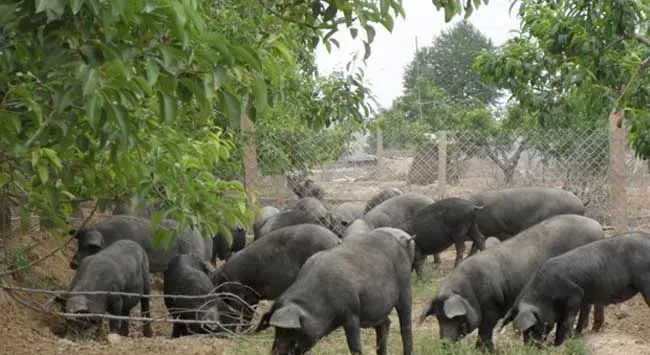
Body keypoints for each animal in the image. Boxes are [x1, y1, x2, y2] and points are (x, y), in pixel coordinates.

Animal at [70, 214, 213, 276]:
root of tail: (198, 232)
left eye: (90, 246)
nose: (73, 263)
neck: (108, 239)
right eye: (78, 243)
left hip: (194, 251)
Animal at [209, 224, 342, 330]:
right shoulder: (252, 297)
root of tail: (336, 240)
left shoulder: (237, 293)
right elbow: (248, 314)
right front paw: (244, 330)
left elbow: (236, 312)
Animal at [256, 228, 412, 355]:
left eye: (290, 330)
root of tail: (399, 244)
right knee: (385, 323)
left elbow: (354, 346)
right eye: (276, 330)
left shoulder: (351, 314)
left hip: (405, 287)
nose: (275, 352)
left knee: (405, 325)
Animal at [418, 214, 604, 350]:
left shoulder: (491, 308)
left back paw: (582, 332)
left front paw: (485, 350)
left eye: (453, 317)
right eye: (438, 318)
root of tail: (598, 227)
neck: (470, 293)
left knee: (587, 305)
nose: (444, 342)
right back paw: (591, 329)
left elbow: (485, 331)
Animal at [498, 232, 648, 346]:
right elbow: (562, 323)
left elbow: (567, 321)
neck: (545, 296)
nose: (531, 347)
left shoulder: (575, 295)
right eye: (522, 332)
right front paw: (560, 342)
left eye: (531, 328)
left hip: (645, 282)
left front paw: (564, 342)